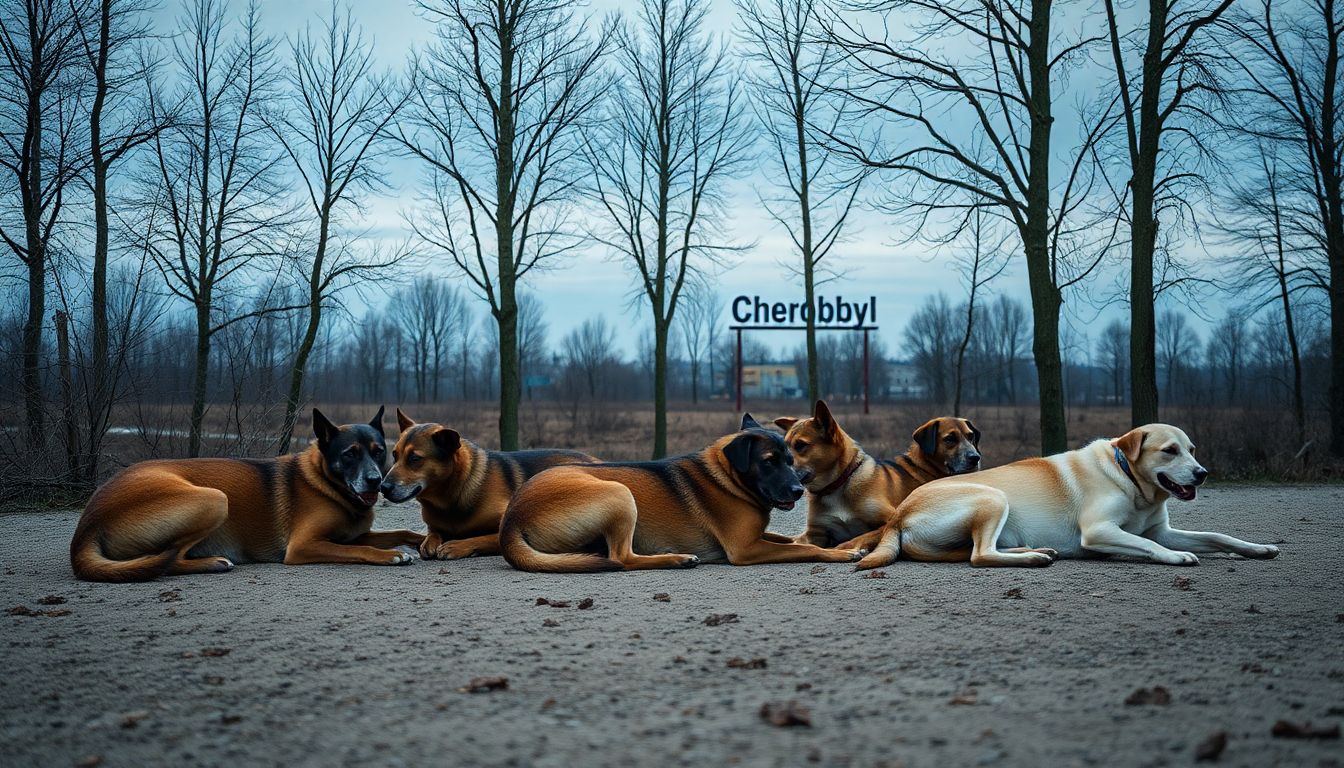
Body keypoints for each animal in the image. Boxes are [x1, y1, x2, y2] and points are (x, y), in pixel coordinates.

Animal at [69, 408, 424, 583]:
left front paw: (420, 541)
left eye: (379, 452)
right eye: (349, 455)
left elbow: (400, 530)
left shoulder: (354, 533)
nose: (376, 482)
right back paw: (212, 562)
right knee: (165, 560)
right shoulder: (304, 546)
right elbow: (359, 549)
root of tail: (86, 527)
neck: (327, 484)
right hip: (214, 499)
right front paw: (392, 554)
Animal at [381, 411, 596, 562]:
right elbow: (432, 533)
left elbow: (481, 538)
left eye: (415, 459)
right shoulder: (434, 525)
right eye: (394, 455)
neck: (451, 498)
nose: (383, 487)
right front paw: (429, 542)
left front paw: (455, 546)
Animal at [499, 414, 865, 570]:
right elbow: (804, 549)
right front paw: (840, 554)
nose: (798, 490)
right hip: (619, 493)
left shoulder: (759, 536)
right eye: (769, 462)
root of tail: (511, 521)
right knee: (621, 559)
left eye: (791, 459)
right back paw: (677, 558)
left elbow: (788, 539)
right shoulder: (745, 549)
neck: (726, 476)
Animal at [774, 403, 983, 554]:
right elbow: (796, 543)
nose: (975, 457)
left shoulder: (891, 519)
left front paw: (845, 548)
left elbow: (863, 536)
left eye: (801, 445)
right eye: (950, 439)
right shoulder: (815, 533)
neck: (839, 485)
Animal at [854, 419, 1284, 570]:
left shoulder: (1160, 529)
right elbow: (1150, 546)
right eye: (1169, 451)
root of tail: (899, 516)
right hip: (992, 496)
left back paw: (1035, 550)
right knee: (980, 555)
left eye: (1192, 449)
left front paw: (1257, 548)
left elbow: (1217, 536)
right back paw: (1031, 559)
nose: (1202, 474)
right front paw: (1174, 556)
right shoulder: (1099, 531)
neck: (1129, 481)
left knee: (984, 549)